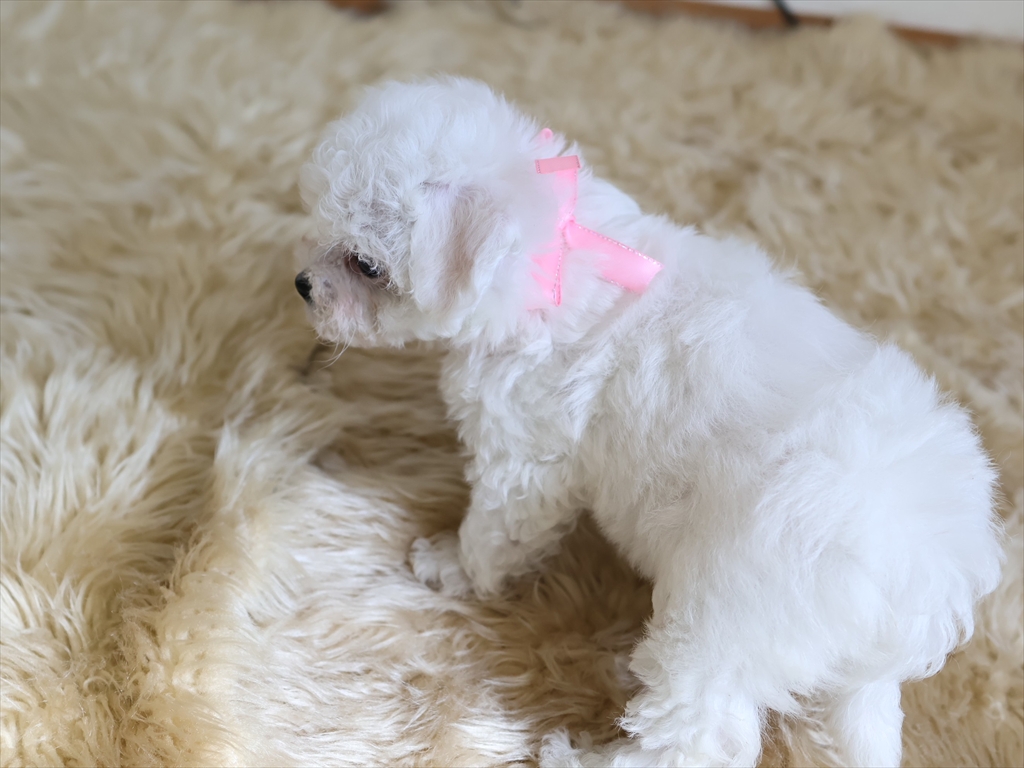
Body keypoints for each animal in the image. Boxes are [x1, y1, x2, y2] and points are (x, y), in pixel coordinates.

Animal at [294, 77, 1003, 767]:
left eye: (365, 265)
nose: (302, 284)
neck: (553, 259)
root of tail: (927, 588)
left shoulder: (525, 456)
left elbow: (494, 529)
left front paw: (451, 566)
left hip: (725, 617)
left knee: (697, 736)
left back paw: (579, 755)